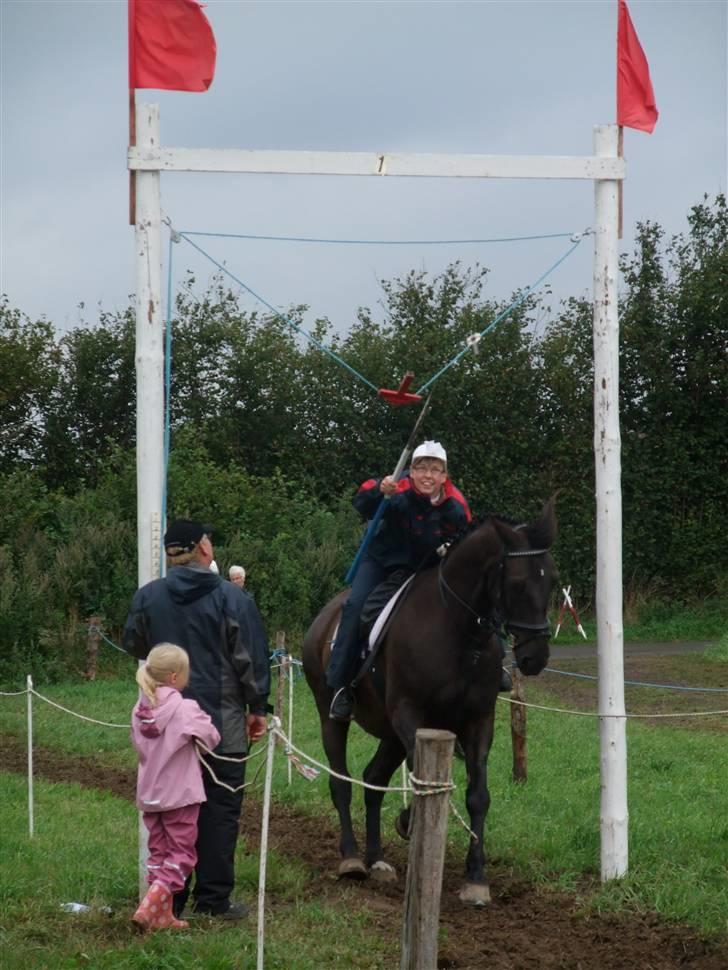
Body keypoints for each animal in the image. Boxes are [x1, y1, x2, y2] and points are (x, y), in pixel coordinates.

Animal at [302, 502, 556, 904]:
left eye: (552, 581)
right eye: (517, 583)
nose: (536, 656)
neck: (457, 628)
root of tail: (324, 617)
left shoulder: (479, 721)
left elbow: (477, 796)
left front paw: (476, 877)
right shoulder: (410, 716)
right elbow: (423, 781)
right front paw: (408, 821)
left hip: (389, 734)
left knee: (373, 779)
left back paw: (377, 859)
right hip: (333, 718)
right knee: (341, 782)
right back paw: (352, 858)